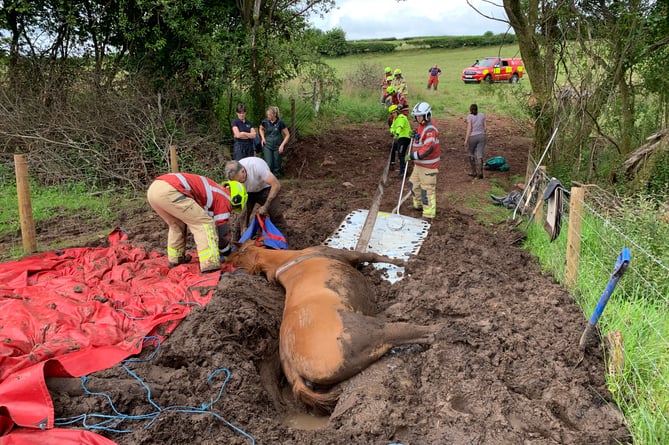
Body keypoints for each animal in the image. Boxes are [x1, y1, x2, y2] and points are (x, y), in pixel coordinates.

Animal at [227, 243, 440, 412]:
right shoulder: (344, 254)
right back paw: (441, 329)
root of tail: (291, 365)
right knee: (409, 331)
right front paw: (409, 263)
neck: (284, 260)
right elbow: (372, 256)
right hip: (364, 334)